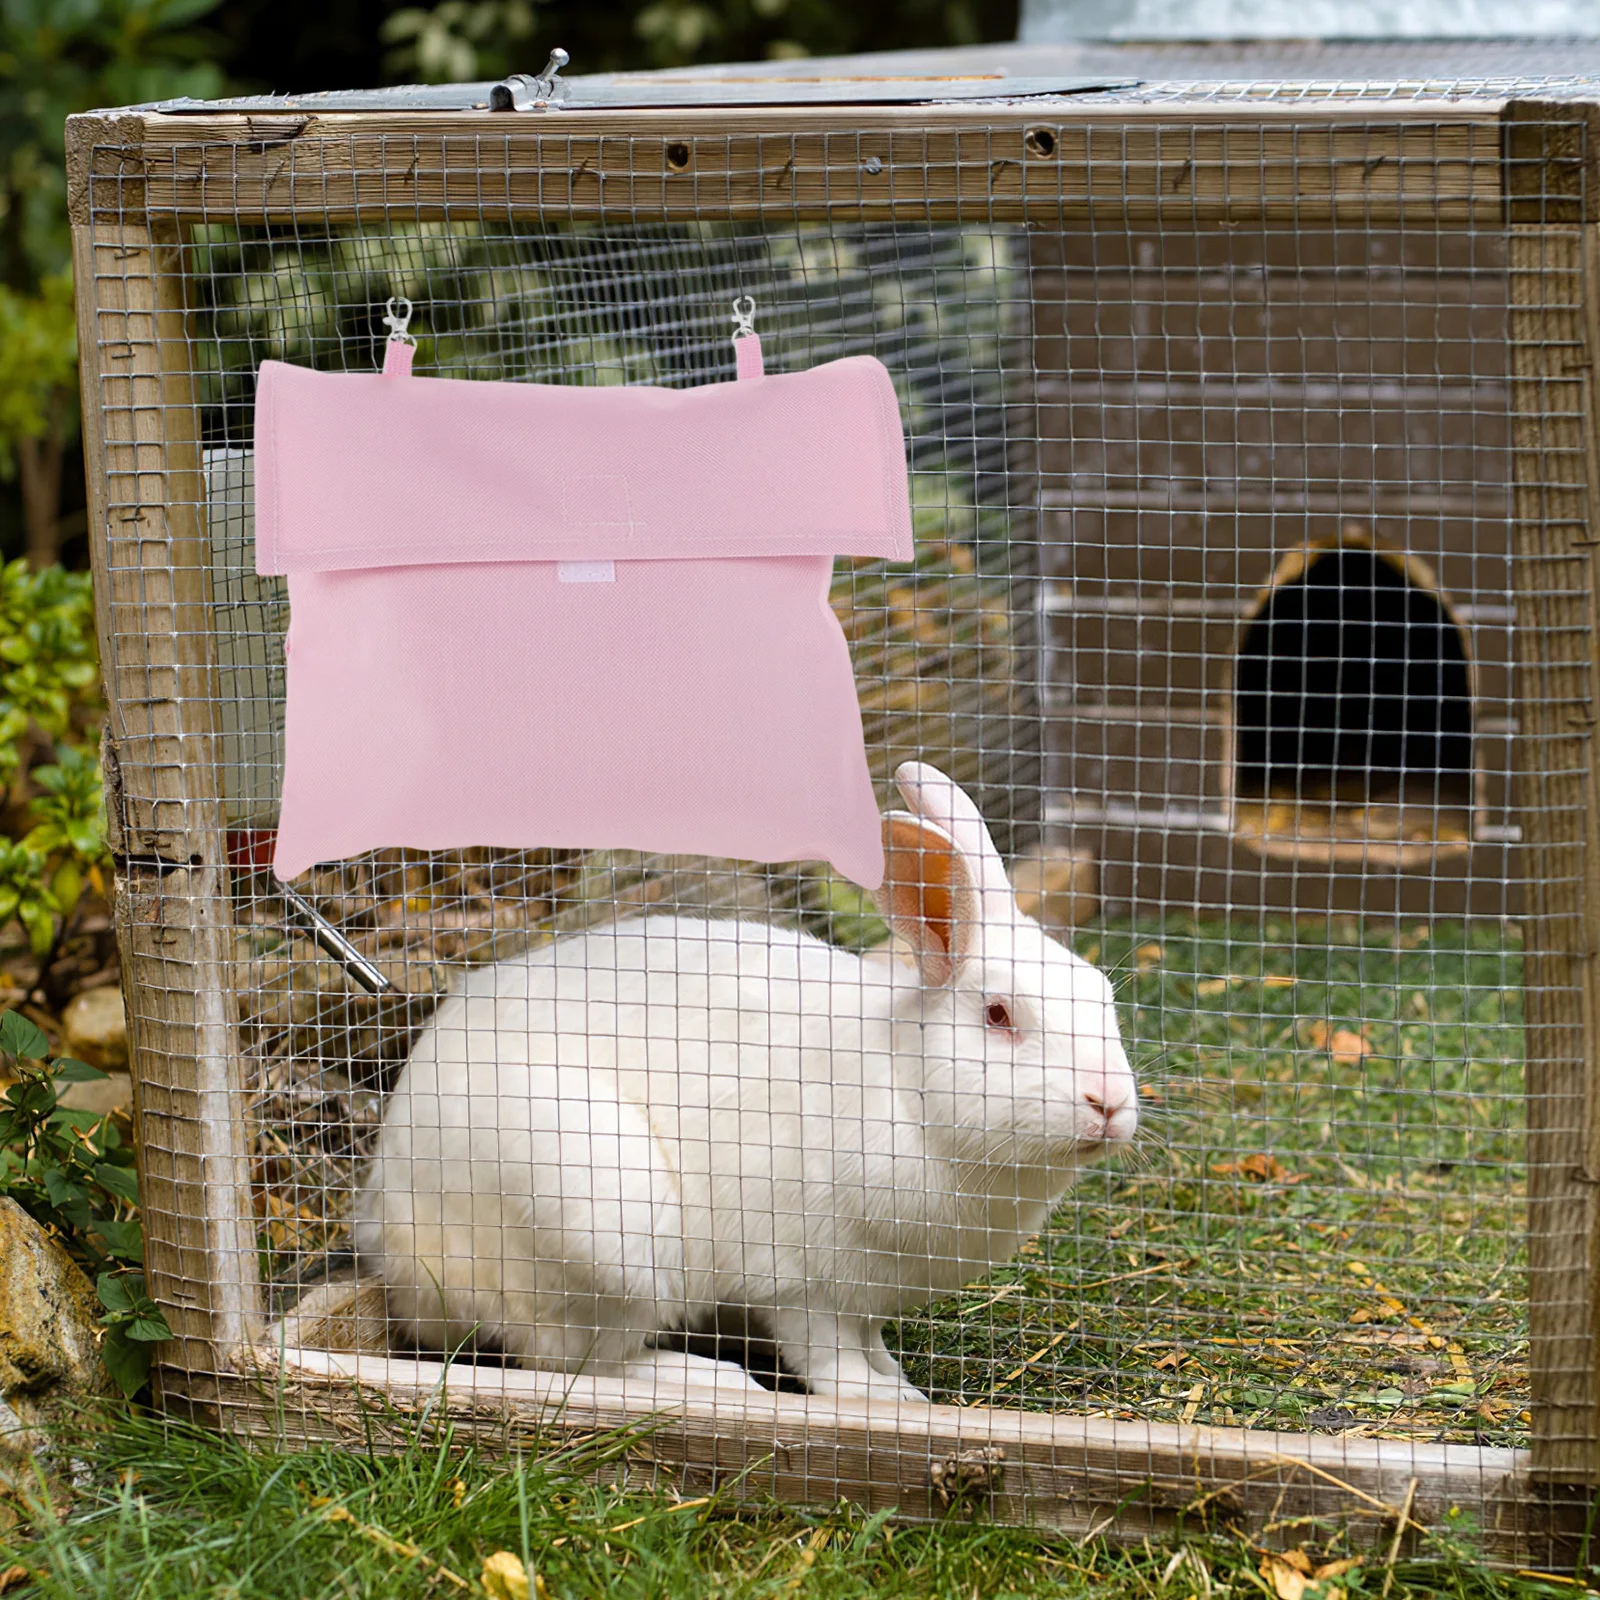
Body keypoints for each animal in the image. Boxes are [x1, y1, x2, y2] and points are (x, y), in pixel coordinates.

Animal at [352, 762, 1137, 1401]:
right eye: (1000, 1015)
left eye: (1103, 994)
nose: (1110, 1103)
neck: (907, 1089)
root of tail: (397, 1256)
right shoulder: (803, 1280)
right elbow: (827, 1356)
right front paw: (886, 1400)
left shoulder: (869, 1293)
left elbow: (871, 1342)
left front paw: (897, 1379)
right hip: (604, 1225)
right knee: (578, 1360)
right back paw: (711, 1380)